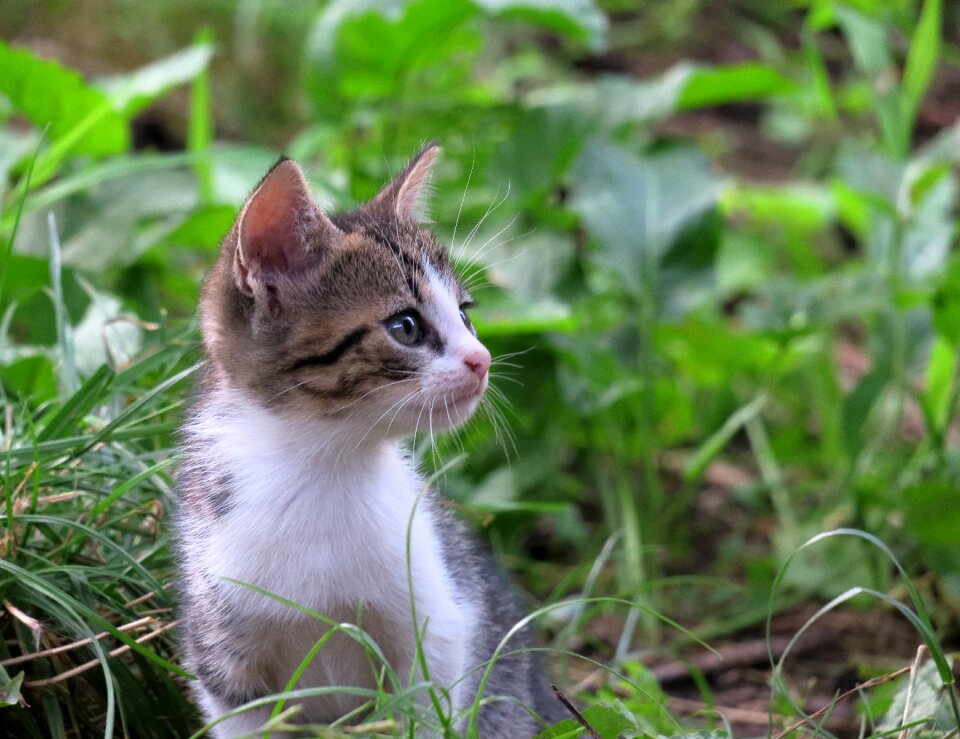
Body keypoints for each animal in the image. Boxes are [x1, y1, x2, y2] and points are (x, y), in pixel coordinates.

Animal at [178, 147, 564, 736]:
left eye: (465, 314)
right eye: (405, 326)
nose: (482, 360)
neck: (322, 469)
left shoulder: (437, 627)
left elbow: (424, 713)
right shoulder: (223, 658)